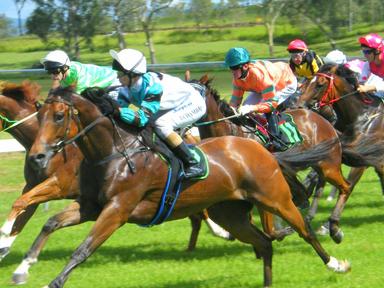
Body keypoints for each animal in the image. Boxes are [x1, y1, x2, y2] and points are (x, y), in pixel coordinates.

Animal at [194, 74, 352, 243]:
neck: (231, 133)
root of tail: (323, 119)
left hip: (328, 166)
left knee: (346, 187)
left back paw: (334, 229)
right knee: (306, 192)